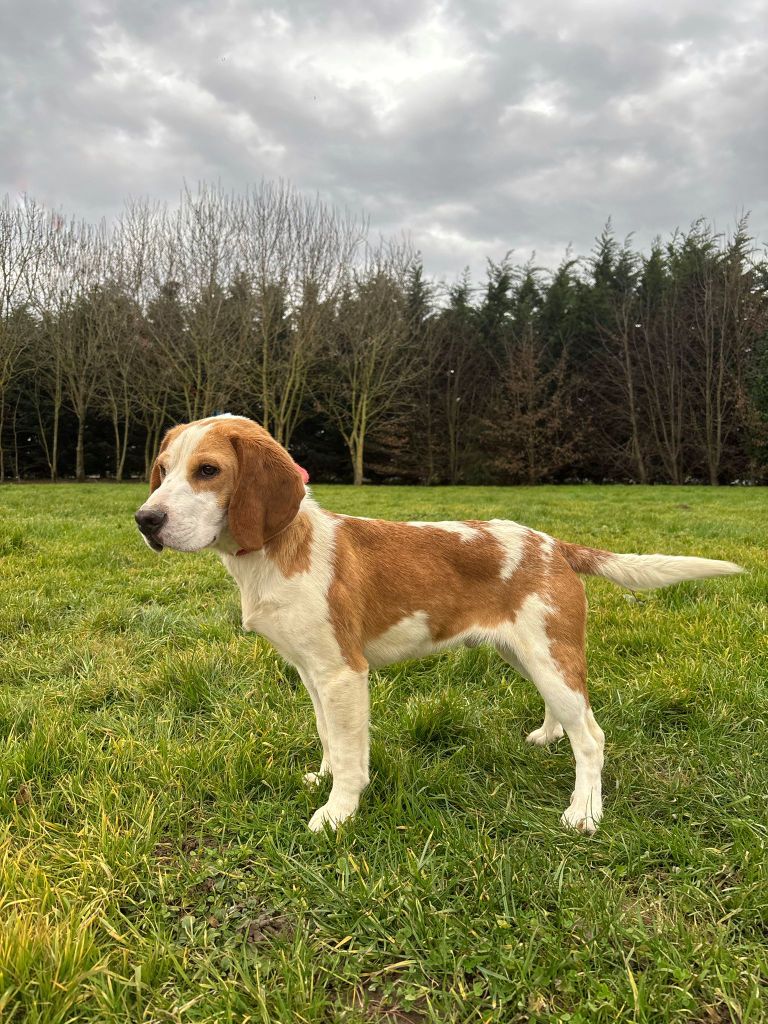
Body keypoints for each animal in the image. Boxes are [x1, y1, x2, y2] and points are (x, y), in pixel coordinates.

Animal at [135, 413, 741, 831]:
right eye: (162, 472)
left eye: (208, 471)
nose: (145, 519)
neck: (274, 549)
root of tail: (552, 545)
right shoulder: (312, 673)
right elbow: (329, 736)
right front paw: (322, 779)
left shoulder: (343, 674)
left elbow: (352, 755)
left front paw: (337, 814)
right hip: (527, 654)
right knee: (569, 717)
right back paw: (548, 737)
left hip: (550, 655)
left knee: (592, 737)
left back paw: (584, 812)